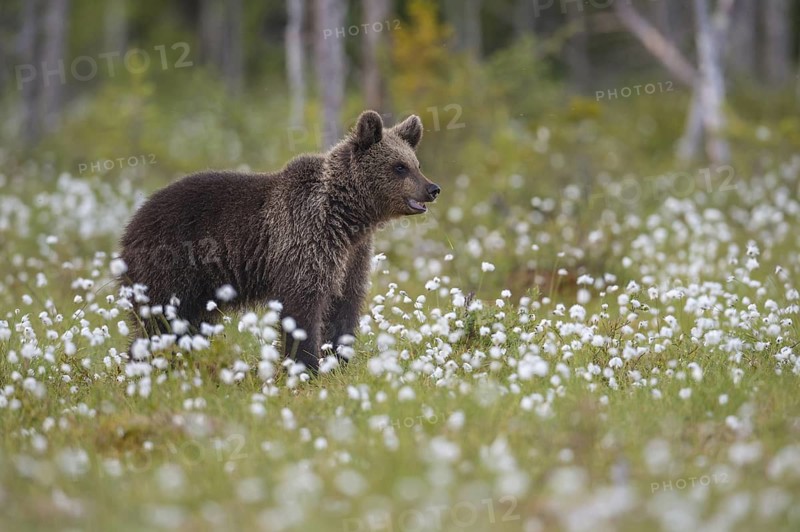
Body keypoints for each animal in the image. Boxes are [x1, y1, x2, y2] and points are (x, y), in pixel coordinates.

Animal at [118, 110, 440, 372]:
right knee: (159, 321)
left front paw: (338, 360)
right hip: (171, 264)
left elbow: (345, 304)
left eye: (416, 163)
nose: (432, 188)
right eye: (399, 166)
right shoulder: (305, 238)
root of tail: (130, 225)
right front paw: (306, 366)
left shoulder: (353, 254)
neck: (346, 215)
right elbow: (302, 304)